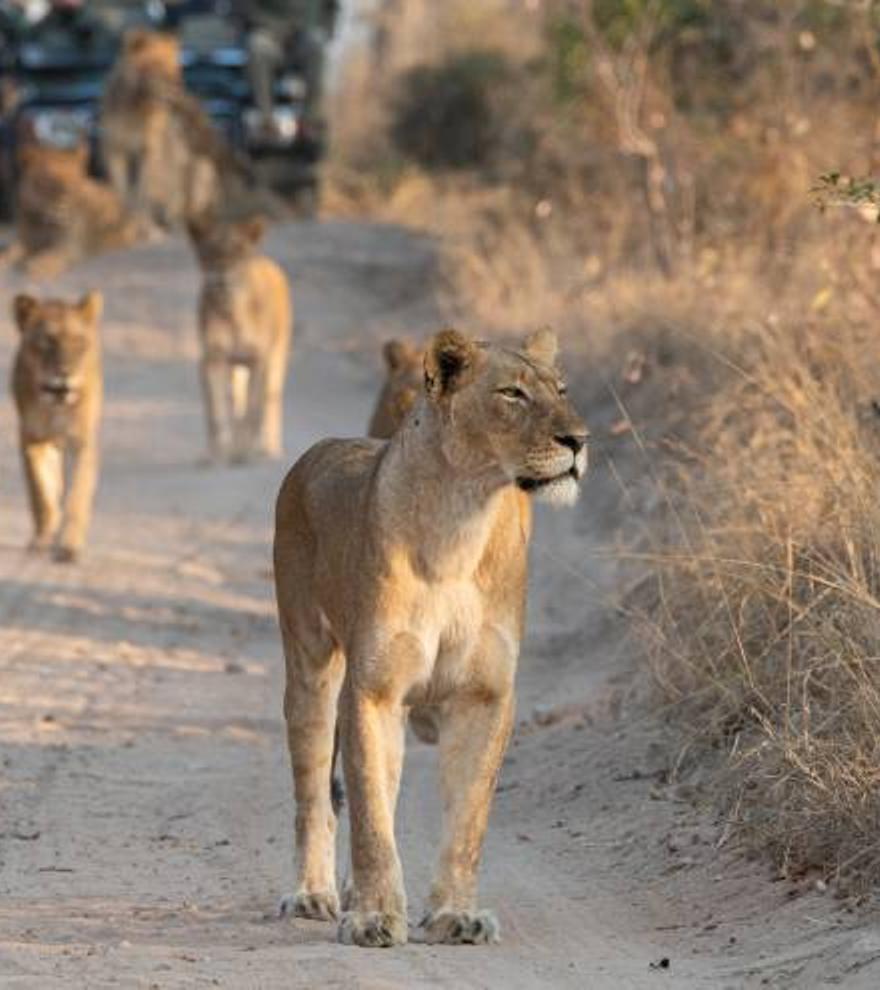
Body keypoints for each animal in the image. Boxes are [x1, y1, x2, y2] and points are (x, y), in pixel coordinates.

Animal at [11, 290, 104, 560]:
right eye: (48, 341)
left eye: (78, 341)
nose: (65, 373)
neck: (56, 403)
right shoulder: (31, 439)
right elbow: (40, 493)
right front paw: (42, 538)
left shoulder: (81, 442)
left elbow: (77, 494)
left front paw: (69, 545)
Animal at [274, 330, 592, 948]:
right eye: (512, 394)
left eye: (562, 390)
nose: (579, 440)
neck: (461, 522)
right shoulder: (371, 691)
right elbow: (371, 821)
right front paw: (374, 918)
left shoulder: (485, 696)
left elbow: (467, 819)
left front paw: (452, 917)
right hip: (310, 669)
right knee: (315, 796)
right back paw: (312, 894)